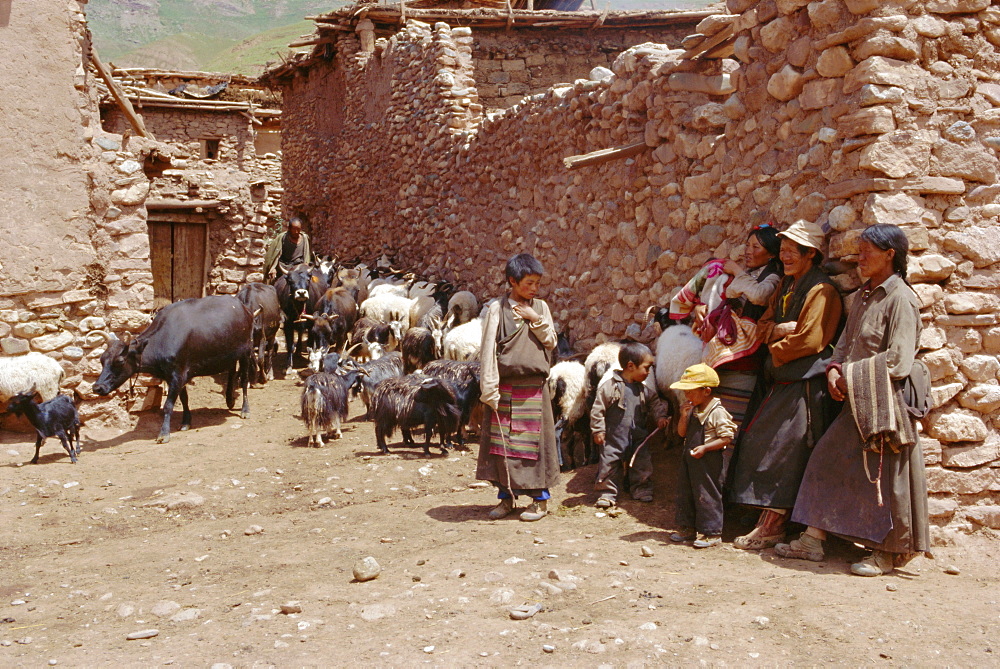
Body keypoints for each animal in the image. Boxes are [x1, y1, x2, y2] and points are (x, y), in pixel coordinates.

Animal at [93, 296, 254, 444]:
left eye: (120, 361)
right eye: (101, 359)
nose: (97, 387)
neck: (164, 338)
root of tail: (242, 306)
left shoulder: (178, 375)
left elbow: (168, 406)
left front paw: (164, 434)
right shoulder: (176, 376)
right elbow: (184, 399)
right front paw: (186, 422)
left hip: (246, 352)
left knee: (244, 380)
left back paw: (245, 410)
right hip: (231, 354)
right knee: (231, 372)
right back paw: (230, 400)